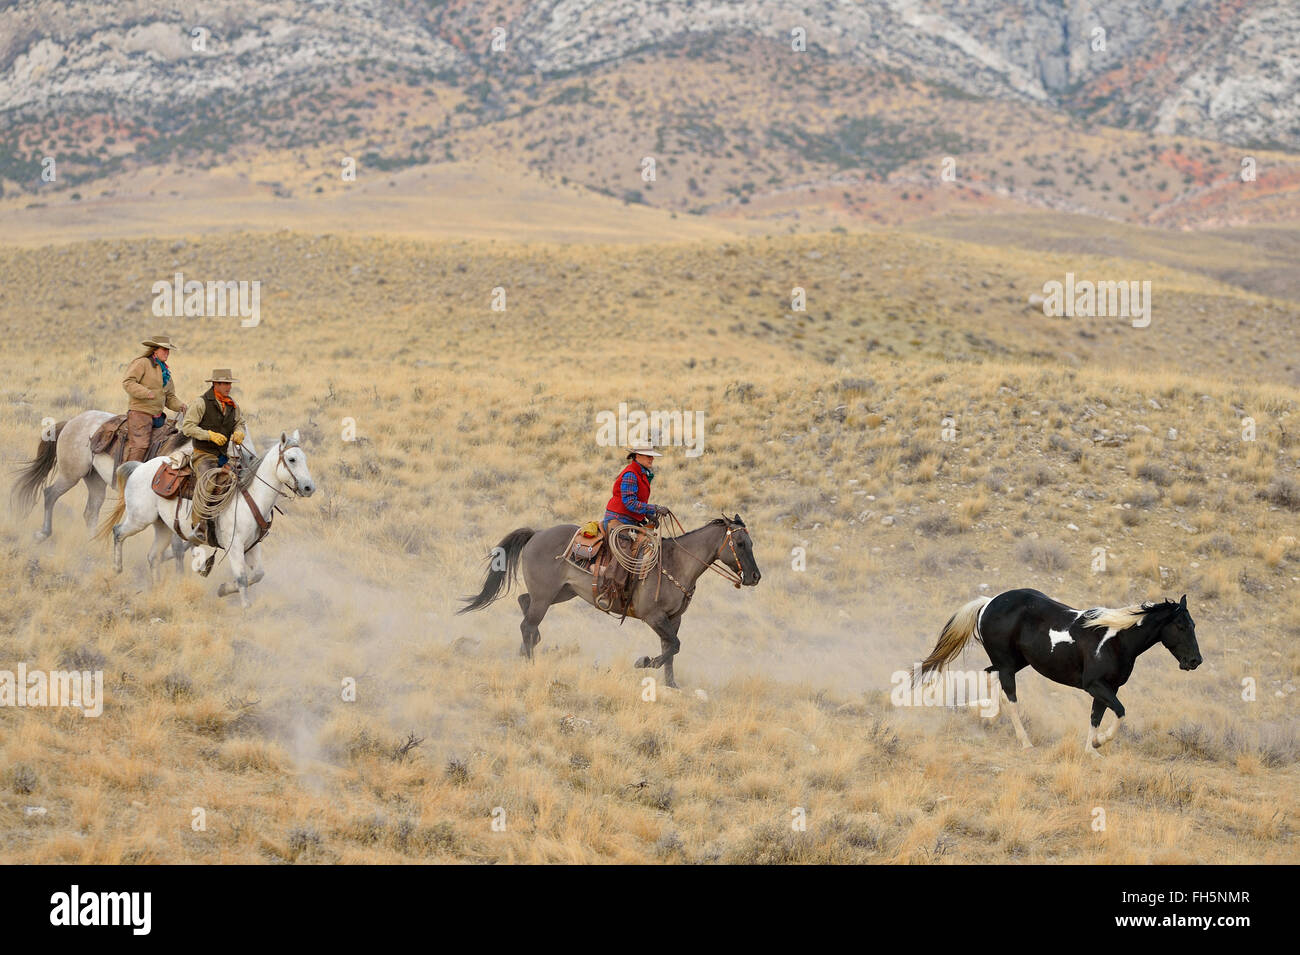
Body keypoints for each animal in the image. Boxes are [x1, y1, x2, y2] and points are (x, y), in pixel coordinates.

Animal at [102, 431, 314, 605]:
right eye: (292, 459)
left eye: (304, 458)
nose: (309, 487)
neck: (249, 497)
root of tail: (140, 467)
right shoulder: (234, 546)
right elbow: (242, 578)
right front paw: (245, 608)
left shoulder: (252, 546)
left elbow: (258, 574)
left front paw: (223, 589)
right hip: (139, 518)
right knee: (118, 532)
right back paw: (117, 568)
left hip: (162, 525)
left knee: (153, 556)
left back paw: (157, 588)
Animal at [460, 514, 759, 686]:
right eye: (740, 544)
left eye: (751, 543)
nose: (755, 576)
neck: (677, 564)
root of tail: (537, 534)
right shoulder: (654, 616)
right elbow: (674, 645)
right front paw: (643, 662)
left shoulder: (674, 618)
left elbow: (671, 648)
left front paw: (670, 685)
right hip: (545, 595)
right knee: (527, 624)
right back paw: (530, 661)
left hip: (561, 592)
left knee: (525, 604)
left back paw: (528, 649)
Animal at [920, 587, 1201, 758]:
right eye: (1181, 625)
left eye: (1193, 625)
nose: (1195, 661)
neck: (1115, 640)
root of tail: (989, 603)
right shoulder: (1095, 685)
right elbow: (1120, 711)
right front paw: (1099, 743)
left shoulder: (1108, 688)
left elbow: (1096, 716)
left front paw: (1091, 749)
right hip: (1008, 664)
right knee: (1010, 699)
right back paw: (1025, 742)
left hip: (1016, 661)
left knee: (990, 676)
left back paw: (985, 716)